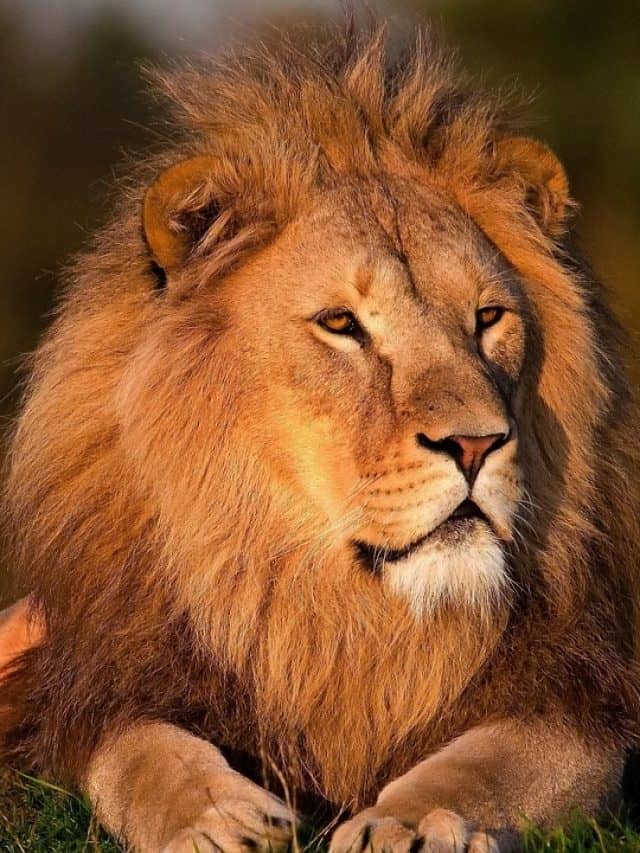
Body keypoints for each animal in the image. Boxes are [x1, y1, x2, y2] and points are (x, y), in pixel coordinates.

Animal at [1, 20, 639, 853]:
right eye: (341, 323)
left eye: (488, 317)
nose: (476, 445)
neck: (332, 611)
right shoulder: (107, 682)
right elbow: (137, 753)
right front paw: (216, 820)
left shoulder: (578, 695)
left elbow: (494, 762)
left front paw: (407, 823)